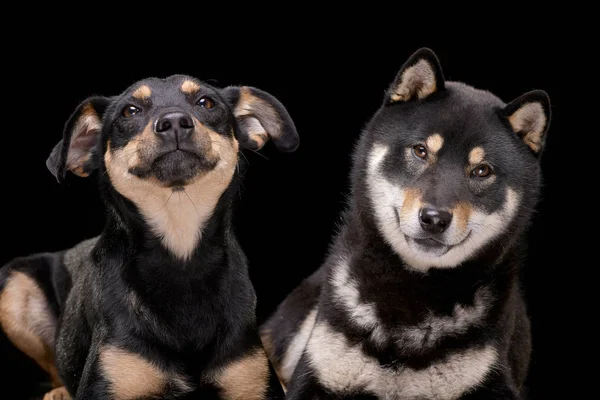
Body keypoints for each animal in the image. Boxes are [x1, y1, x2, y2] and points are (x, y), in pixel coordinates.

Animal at [0, 73, 300, 398]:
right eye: (129, 111)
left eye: (206, 103)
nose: (174, 121)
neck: (180, 259)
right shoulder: (110, 379)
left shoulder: (251, 380)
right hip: (13, 286)